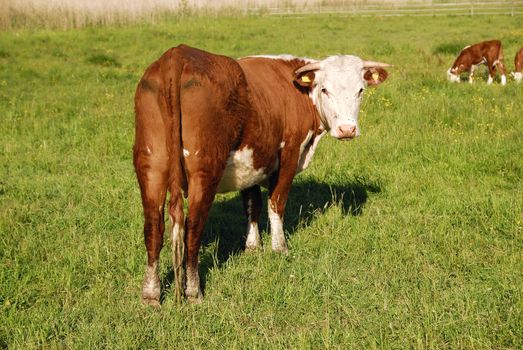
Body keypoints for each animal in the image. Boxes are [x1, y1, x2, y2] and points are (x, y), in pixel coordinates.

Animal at [133, 45, 390, 304]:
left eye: (360, 90)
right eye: (325, 89)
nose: (347, 129)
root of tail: (177, 56)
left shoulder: (250, 161)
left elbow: (252, 204)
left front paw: (253, 246)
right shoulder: (289, 153)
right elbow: (276, 203)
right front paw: (279, 247)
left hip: (151, 165)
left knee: (153, 227)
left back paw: (150, 294)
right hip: (204, 170)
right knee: (193, 227)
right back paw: (194, 291)